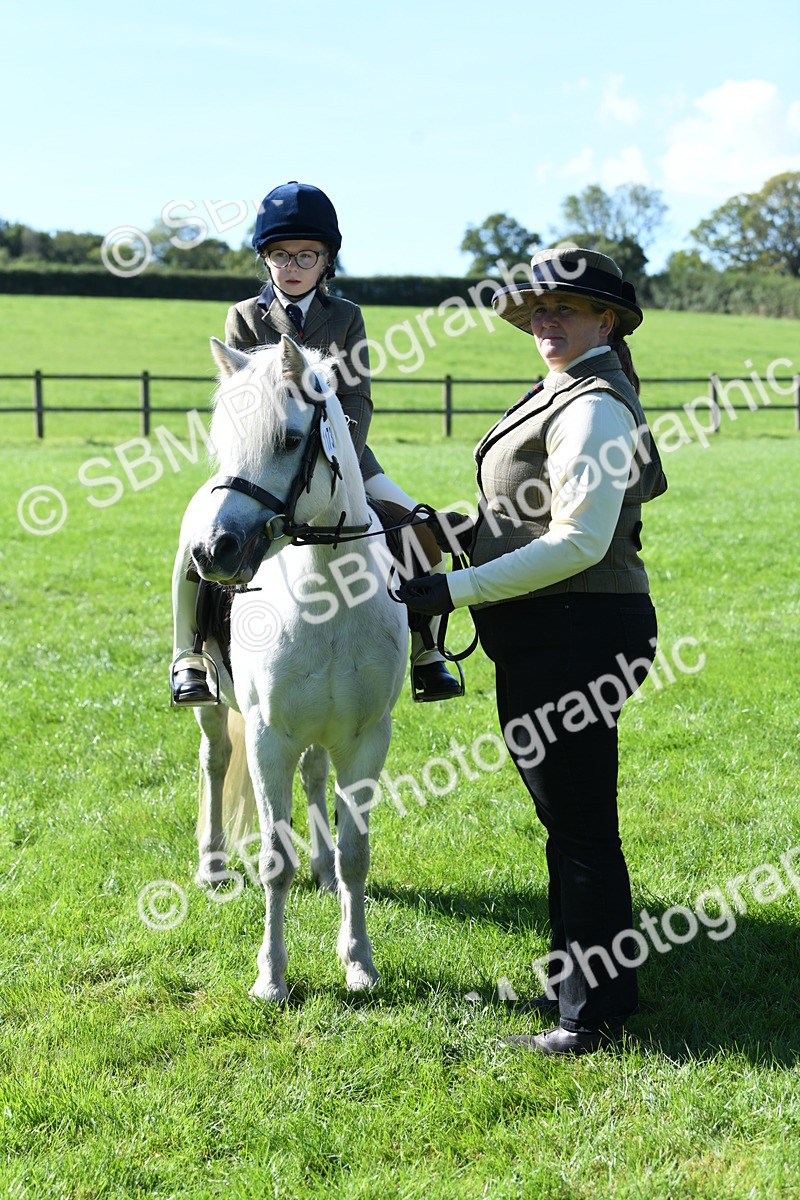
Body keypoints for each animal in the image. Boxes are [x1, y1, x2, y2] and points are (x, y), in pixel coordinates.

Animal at [185, 334, 408, 1002]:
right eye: (221, 441)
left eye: (287, 438)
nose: (213, 551)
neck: (327, 592)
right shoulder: (268, 739)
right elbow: (273, 862)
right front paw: (271, 977)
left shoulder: (366, 740)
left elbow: (357, 854)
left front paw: (359, 964)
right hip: (212, 706)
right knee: (214, 760)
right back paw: (212, 865)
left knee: (314, 777)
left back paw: (322, 869)